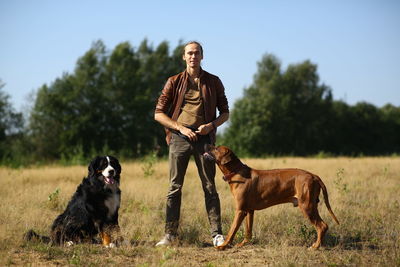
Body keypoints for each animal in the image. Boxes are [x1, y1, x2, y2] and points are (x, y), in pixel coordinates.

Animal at [205, 146, 340, 250]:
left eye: (216, 148)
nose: (207, 144)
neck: (236, 171)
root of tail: (314, 175)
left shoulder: (240, 210)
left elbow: (232, 231)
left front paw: (223, 246)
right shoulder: (249, 210)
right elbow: (248, 231)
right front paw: (243, 244)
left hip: (307, 206)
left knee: (322, 226)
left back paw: (315, 246)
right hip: (311, 204)